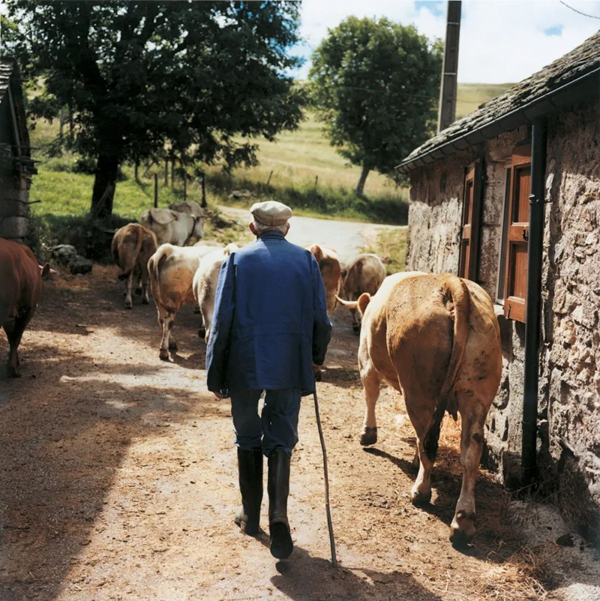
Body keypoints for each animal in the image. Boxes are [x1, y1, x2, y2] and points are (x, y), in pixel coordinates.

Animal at [342, 274, 502, 548]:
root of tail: (451, 283)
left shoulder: (366, 361)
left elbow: (370, 395)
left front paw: (368, 434)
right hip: (477, 395)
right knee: (469, 451)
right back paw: (462, 520)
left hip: (418, 392)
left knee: (427, 441)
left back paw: (421, 491)